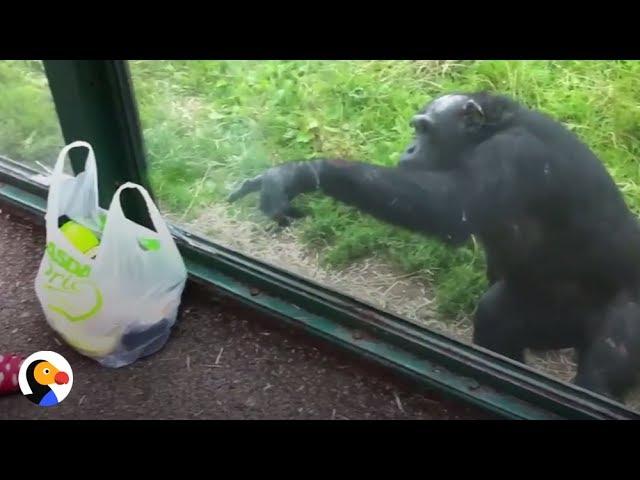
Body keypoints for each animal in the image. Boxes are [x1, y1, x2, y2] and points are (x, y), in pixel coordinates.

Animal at [229, 91, 640, 402]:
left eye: (425, 129)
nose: (410, 148)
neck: (489, 132)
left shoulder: (511, 155)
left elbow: (447, 208)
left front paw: (297, 173)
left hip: (628, 319)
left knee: (601, 373)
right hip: (556, 317)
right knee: (495, 317)